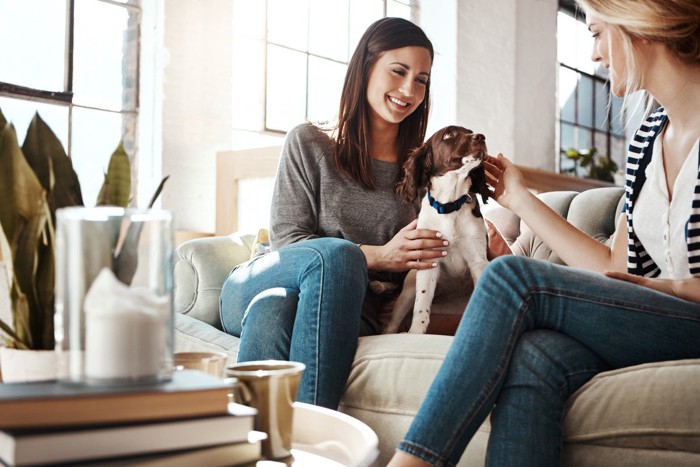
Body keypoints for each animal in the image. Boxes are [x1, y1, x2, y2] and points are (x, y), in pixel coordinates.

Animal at [382, 126, 486, 334]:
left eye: (470, 130)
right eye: (449, 135)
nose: (481, 137)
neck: (450, 206)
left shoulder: (478, 261)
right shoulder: (428, 260)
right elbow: (421, 304)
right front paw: (416, 333)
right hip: (408, 288)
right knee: (392, 324)